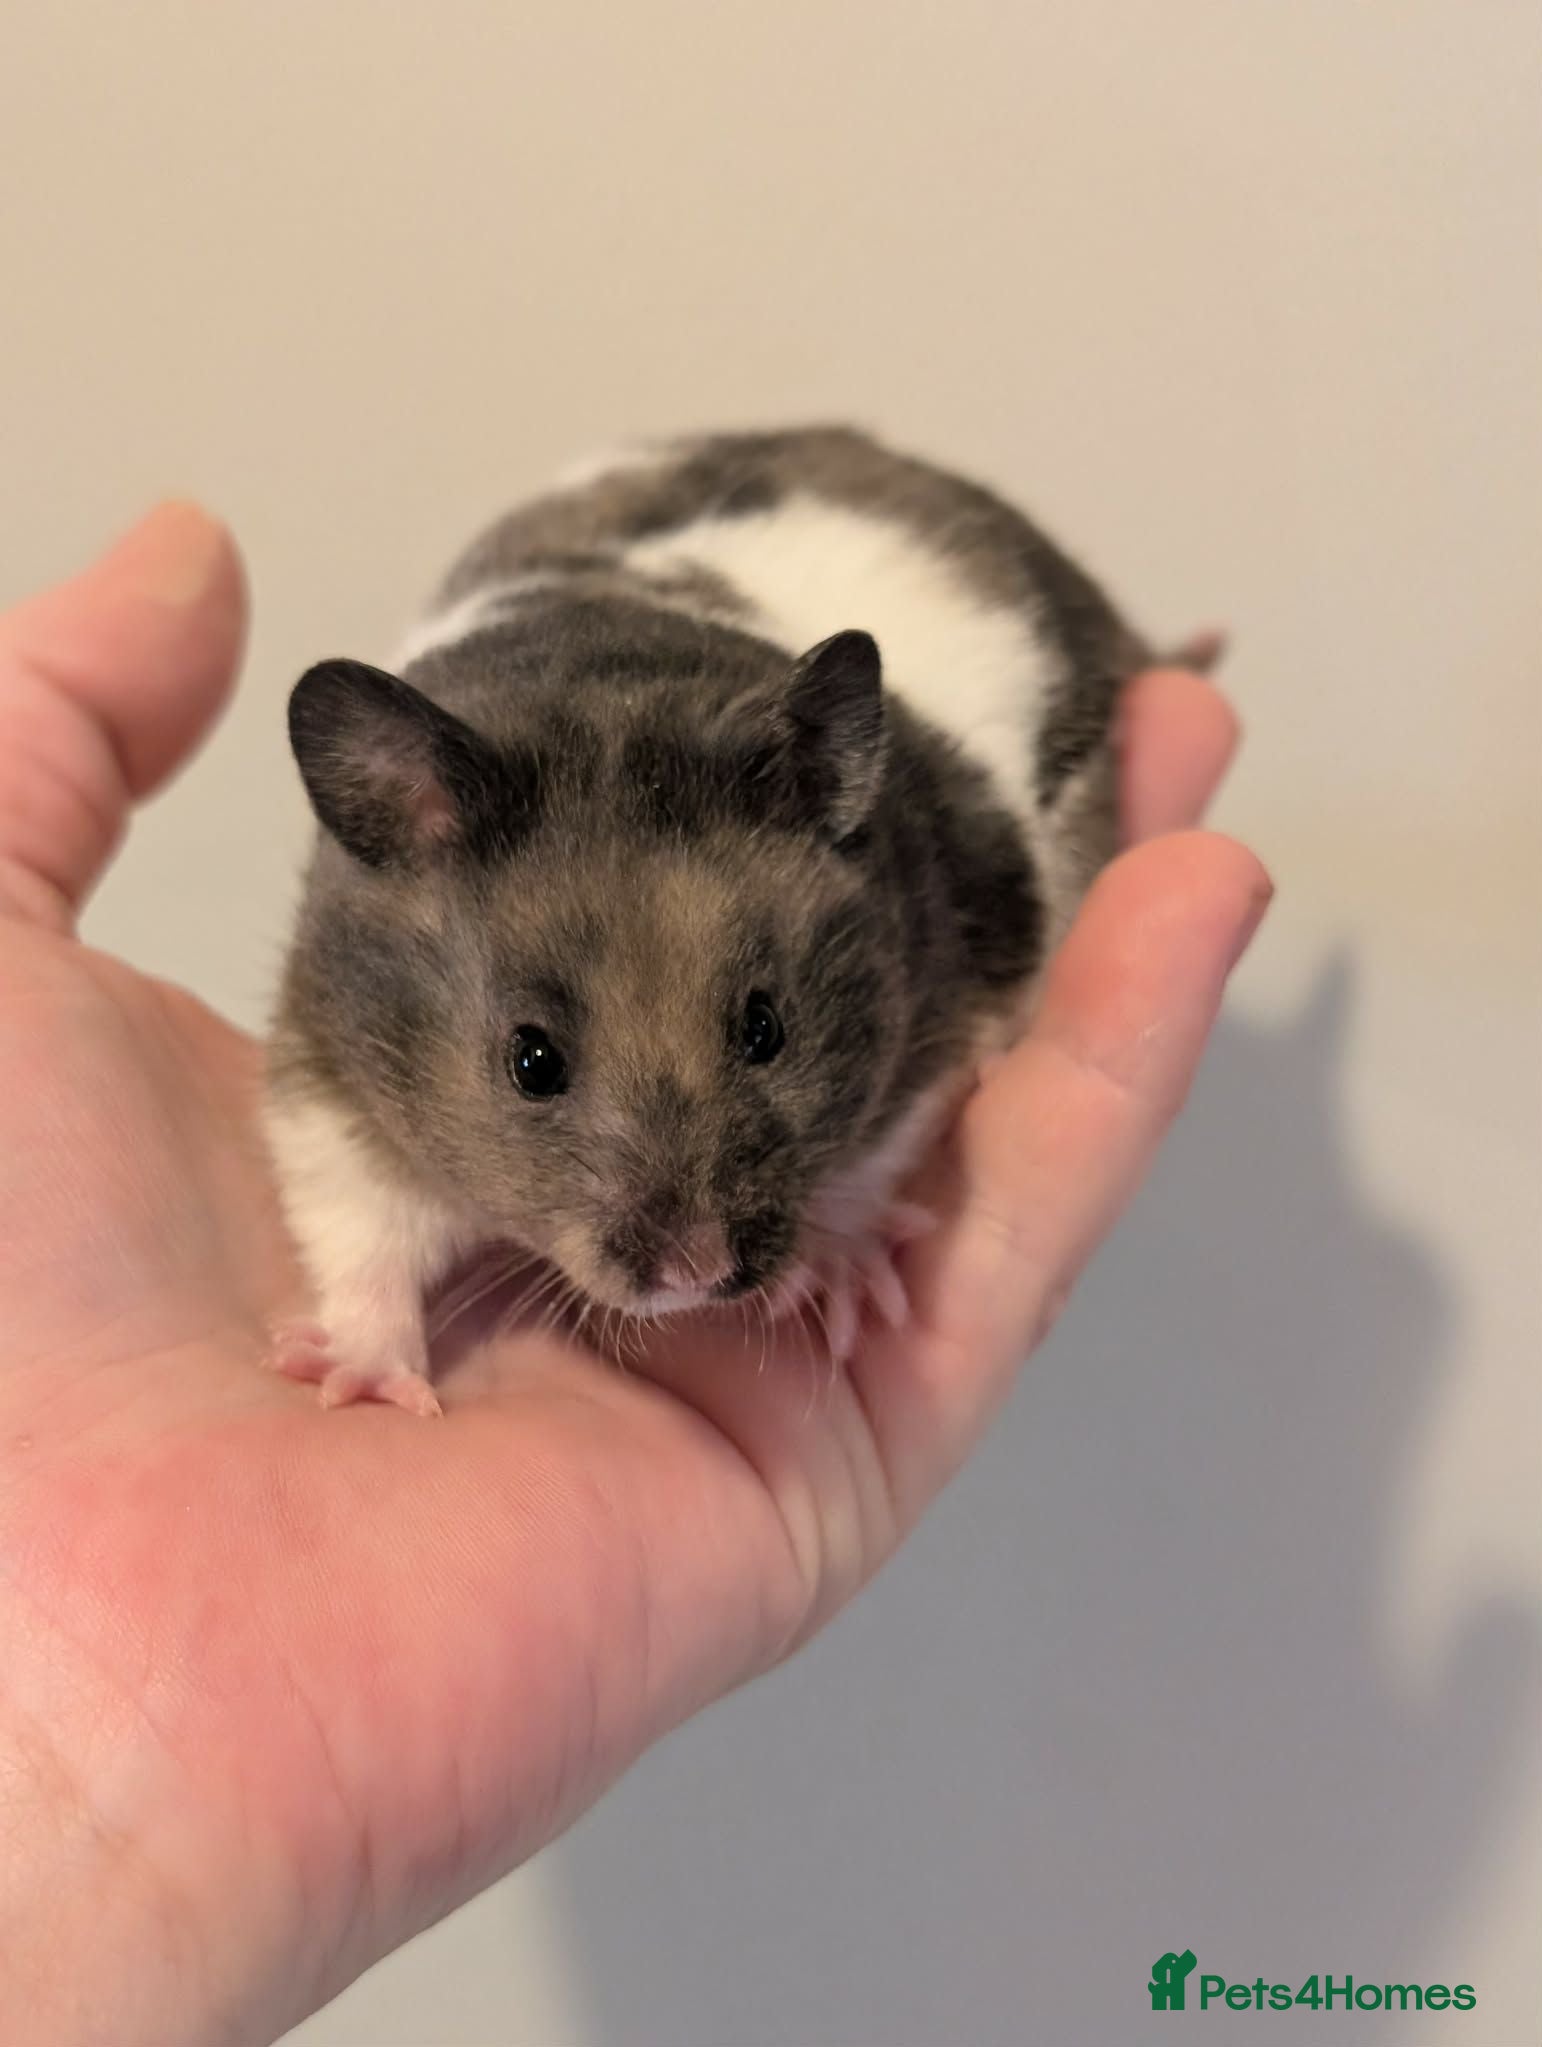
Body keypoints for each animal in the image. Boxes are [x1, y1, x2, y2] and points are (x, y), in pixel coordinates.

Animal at [264, 425, 1194, 1414]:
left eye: (766, 1027)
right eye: (531, 1062)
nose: (698, 1271)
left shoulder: (937, 1021)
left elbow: (872, 1164)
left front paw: (845, 1286)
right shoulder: (328, 1073)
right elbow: (361, 1233)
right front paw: (354, 1385)